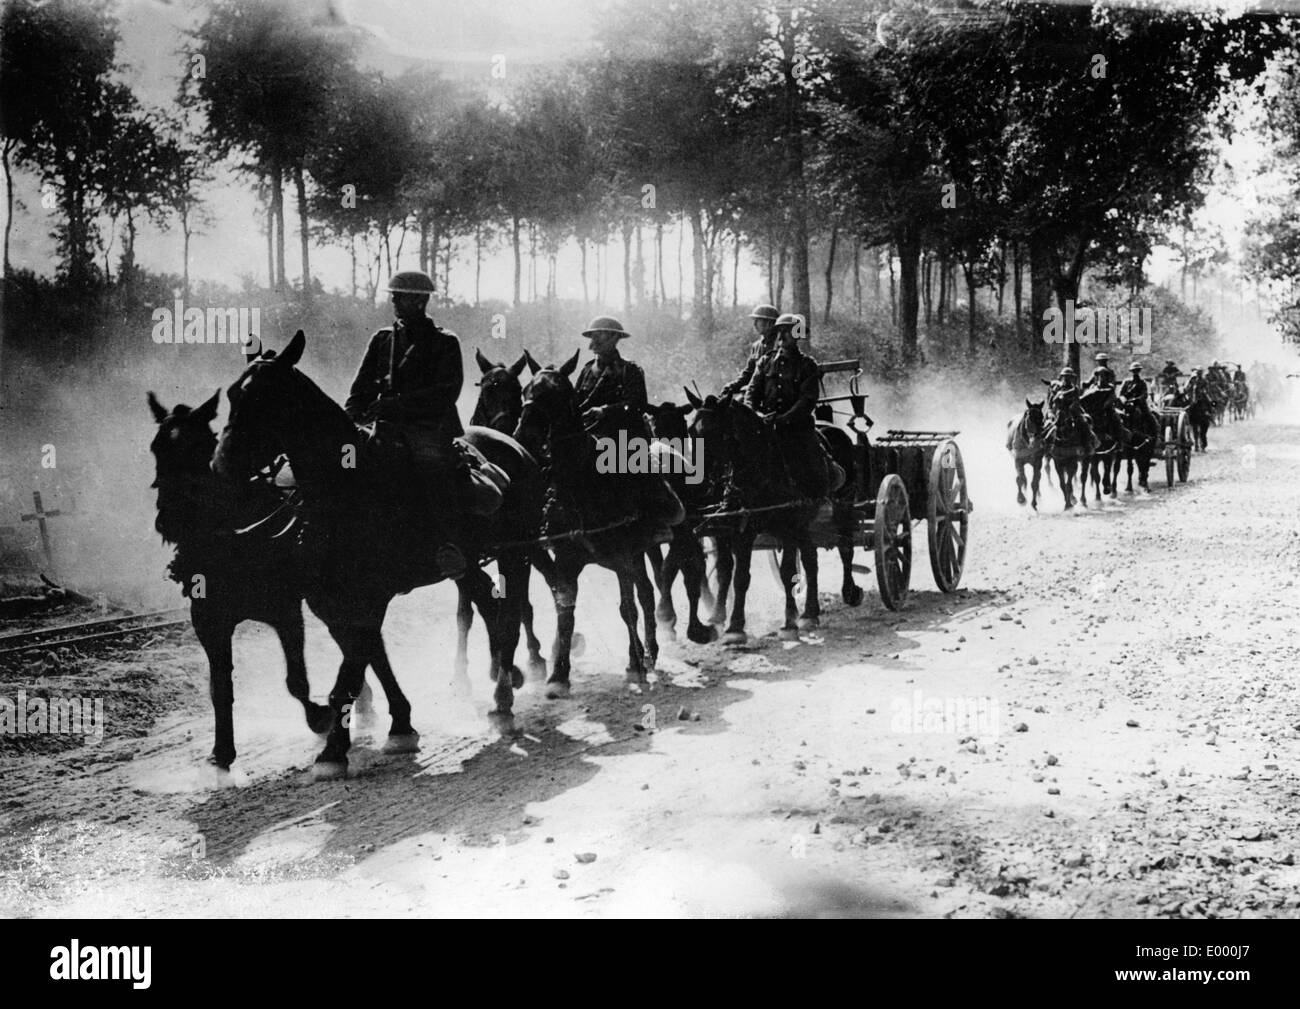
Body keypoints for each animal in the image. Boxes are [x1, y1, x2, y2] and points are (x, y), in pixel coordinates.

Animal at [211, 332, 543, 780]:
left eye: (266, 400)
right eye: (232, 394)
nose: (221, 465)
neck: (348, 487)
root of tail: (515, 446)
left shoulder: (372, 597)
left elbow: (349, 673)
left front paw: (334, 750)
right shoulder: (327, 602)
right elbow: (369, 659)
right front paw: (398, 725)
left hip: (517, 555)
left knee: (509, 615)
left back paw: (504, 700)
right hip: (468, 564)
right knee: (488, 604)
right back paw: (503, 679)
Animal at [512, 351, 686, 696]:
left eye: (556, 393)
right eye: (526, 390)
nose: (523, 435)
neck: (584, 484)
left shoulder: (621, 558)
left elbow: (627, 608)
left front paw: (635, 665)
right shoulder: (567, 561)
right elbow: (566, 611)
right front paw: (559, 675)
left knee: (648, 594)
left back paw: (650, 651)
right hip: (641, 552)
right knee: (647, 591)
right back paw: (649, 650)